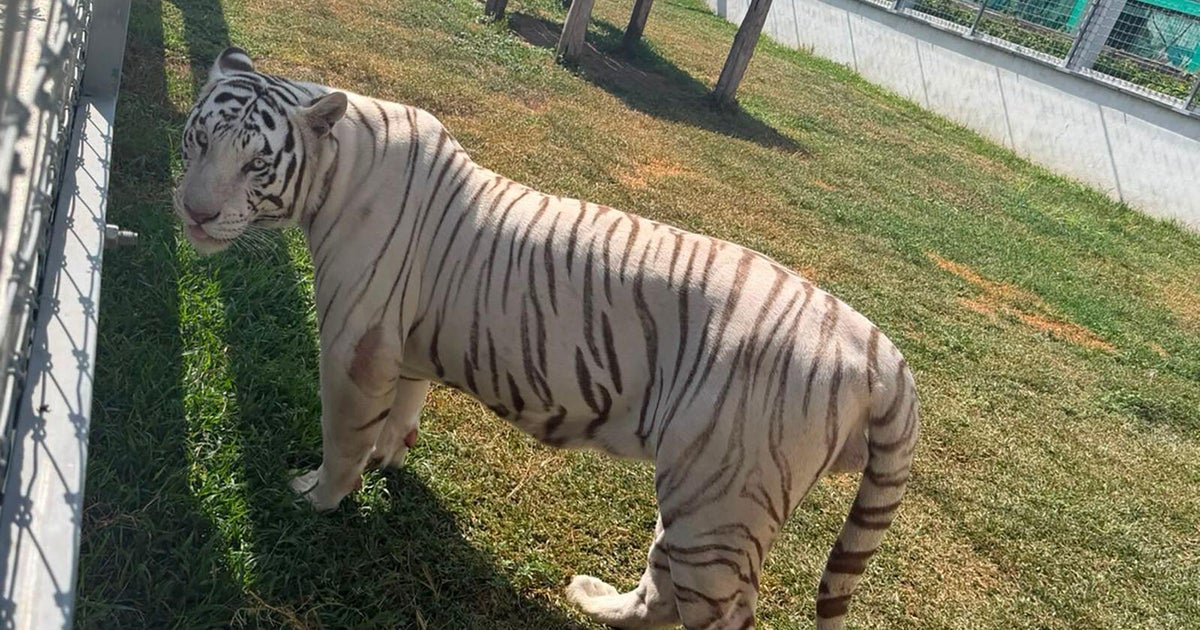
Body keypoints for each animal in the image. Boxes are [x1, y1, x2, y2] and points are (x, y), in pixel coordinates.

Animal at [173, 46, 920, 630]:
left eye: (256, 165)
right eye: (199, 139)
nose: (194, 212)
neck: (337, 168)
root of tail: (882, 351)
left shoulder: (354, 348)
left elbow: (342, 438)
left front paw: (317, 497)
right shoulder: (403, 345)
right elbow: (403, 411)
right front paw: (392, 458)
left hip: (723, 503)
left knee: (717, 610)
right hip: (699, 490)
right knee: (661, 591)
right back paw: (595, 600)